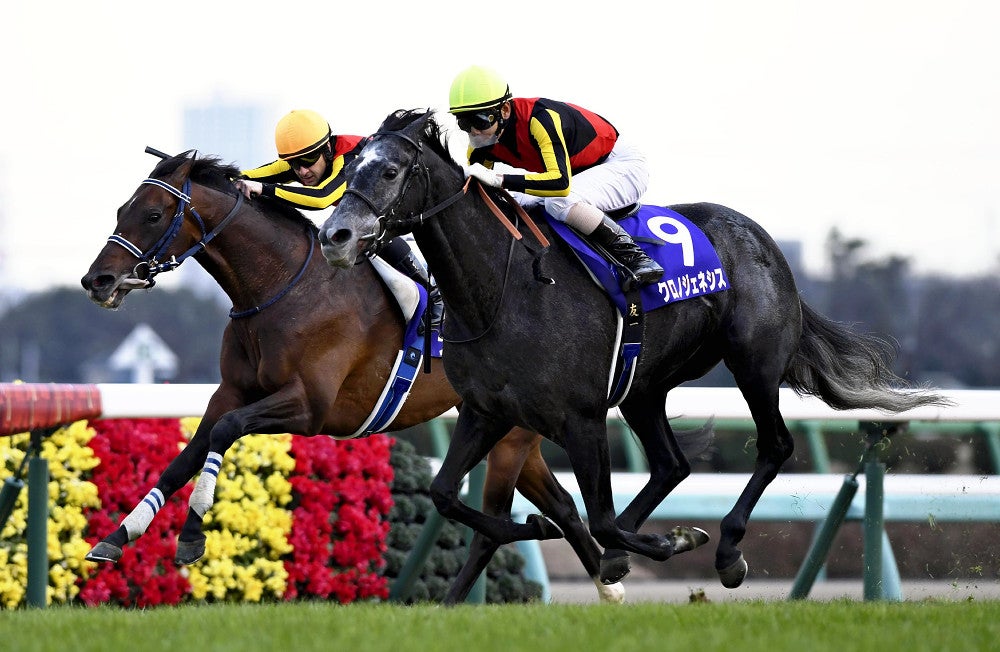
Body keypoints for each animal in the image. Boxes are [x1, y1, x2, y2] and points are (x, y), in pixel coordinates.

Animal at [79, 150, 655, 604]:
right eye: (122, 209)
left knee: (536, 513)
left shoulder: (309, 407)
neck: (283, 288)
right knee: (563, 506)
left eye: (153, 214)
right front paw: (117, 536)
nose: (97, 279)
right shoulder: (232, 392)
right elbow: (185, 456)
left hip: (513, 431)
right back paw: (607, 580)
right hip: (515, 430)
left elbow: (223, 433)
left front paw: (192, 535)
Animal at [317, 108, 949, 589]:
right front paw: (542, 531)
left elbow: (596, 517)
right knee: (671, 463)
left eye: (391, 170)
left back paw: (726, 550)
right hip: (643, 387)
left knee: (774, 445)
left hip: (753, 362)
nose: (335, 236)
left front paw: (671, 540)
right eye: (351, 168)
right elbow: (446, 493)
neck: (502, 290)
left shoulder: (581, 417)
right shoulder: (486, 410)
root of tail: (765, 242)